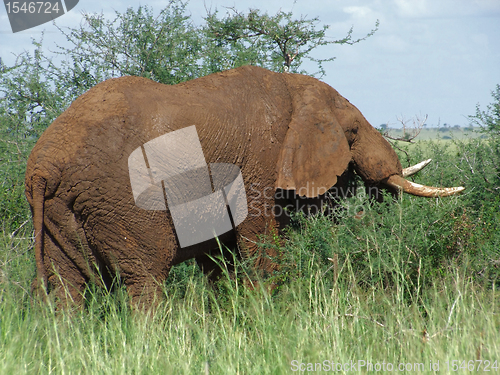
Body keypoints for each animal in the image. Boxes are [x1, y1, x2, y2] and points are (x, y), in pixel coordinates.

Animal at [24, 65, 464, 308]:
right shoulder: (261, 161)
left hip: (61, 209)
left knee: (67, 287)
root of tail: (45, 164)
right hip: (122, 201)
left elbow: (220, 257)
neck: (292, 86)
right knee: (145, 277)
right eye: (353, 132)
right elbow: (259, 241)